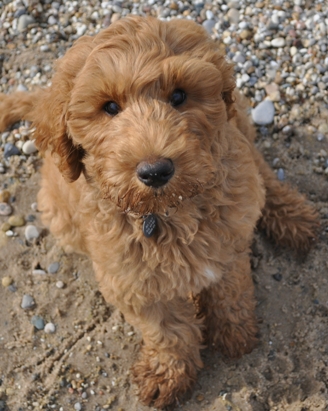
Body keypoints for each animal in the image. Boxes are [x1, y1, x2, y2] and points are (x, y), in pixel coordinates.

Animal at [0, 16, 318, 408]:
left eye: (179, 96)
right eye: (110, 107)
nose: (155, 171)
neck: (169, 211)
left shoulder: (229, 242)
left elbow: (232, 291)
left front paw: (235, 333)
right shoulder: (131, 280)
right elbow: (166, 329)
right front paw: (167, 374)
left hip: (240, 129)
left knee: (262, 169)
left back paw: (293, 217)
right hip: (61, 217)